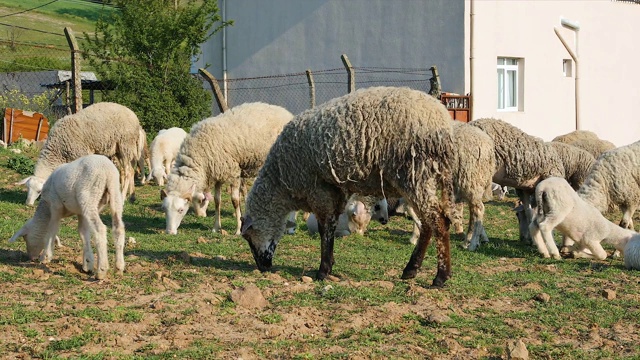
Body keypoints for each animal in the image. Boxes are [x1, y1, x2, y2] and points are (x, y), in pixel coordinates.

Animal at [164, 102, 296, 235]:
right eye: (165, 210)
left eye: (181, 210)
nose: (170, 232)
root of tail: (286, 112)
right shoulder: (218, 173)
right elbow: (217, 201)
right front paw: (216, 227)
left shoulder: (234, 173)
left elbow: (235, 201)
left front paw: (238, 229)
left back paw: (290, 226)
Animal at [240, 86, 456, 288]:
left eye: (248, 237)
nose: (262, 267)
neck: (281, 180)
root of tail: (442, 118)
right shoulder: (335, 191)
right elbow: (330, 226)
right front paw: (329, 265)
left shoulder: (317, 189)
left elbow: (325, 229)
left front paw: (323, 270)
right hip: (419, 179)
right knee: (427, 223)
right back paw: (411, 269)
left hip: (414, 174)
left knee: (439, 221)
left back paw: (440, 277)